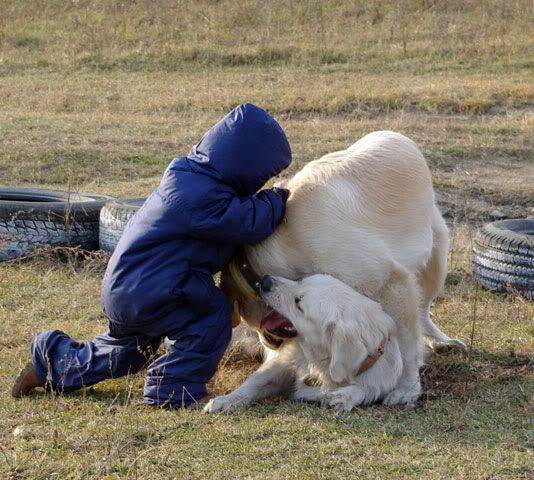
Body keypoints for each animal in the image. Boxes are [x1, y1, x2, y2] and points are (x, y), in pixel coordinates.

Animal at [205, 130, 464, 412]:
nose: (267, 344)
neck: (288, 239)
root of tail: (397, 135)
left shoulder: (393, 284)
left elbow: (405, 348)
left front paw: (406, 388)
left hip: (436, 263)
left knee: (424, 310)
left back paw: (440, 340)